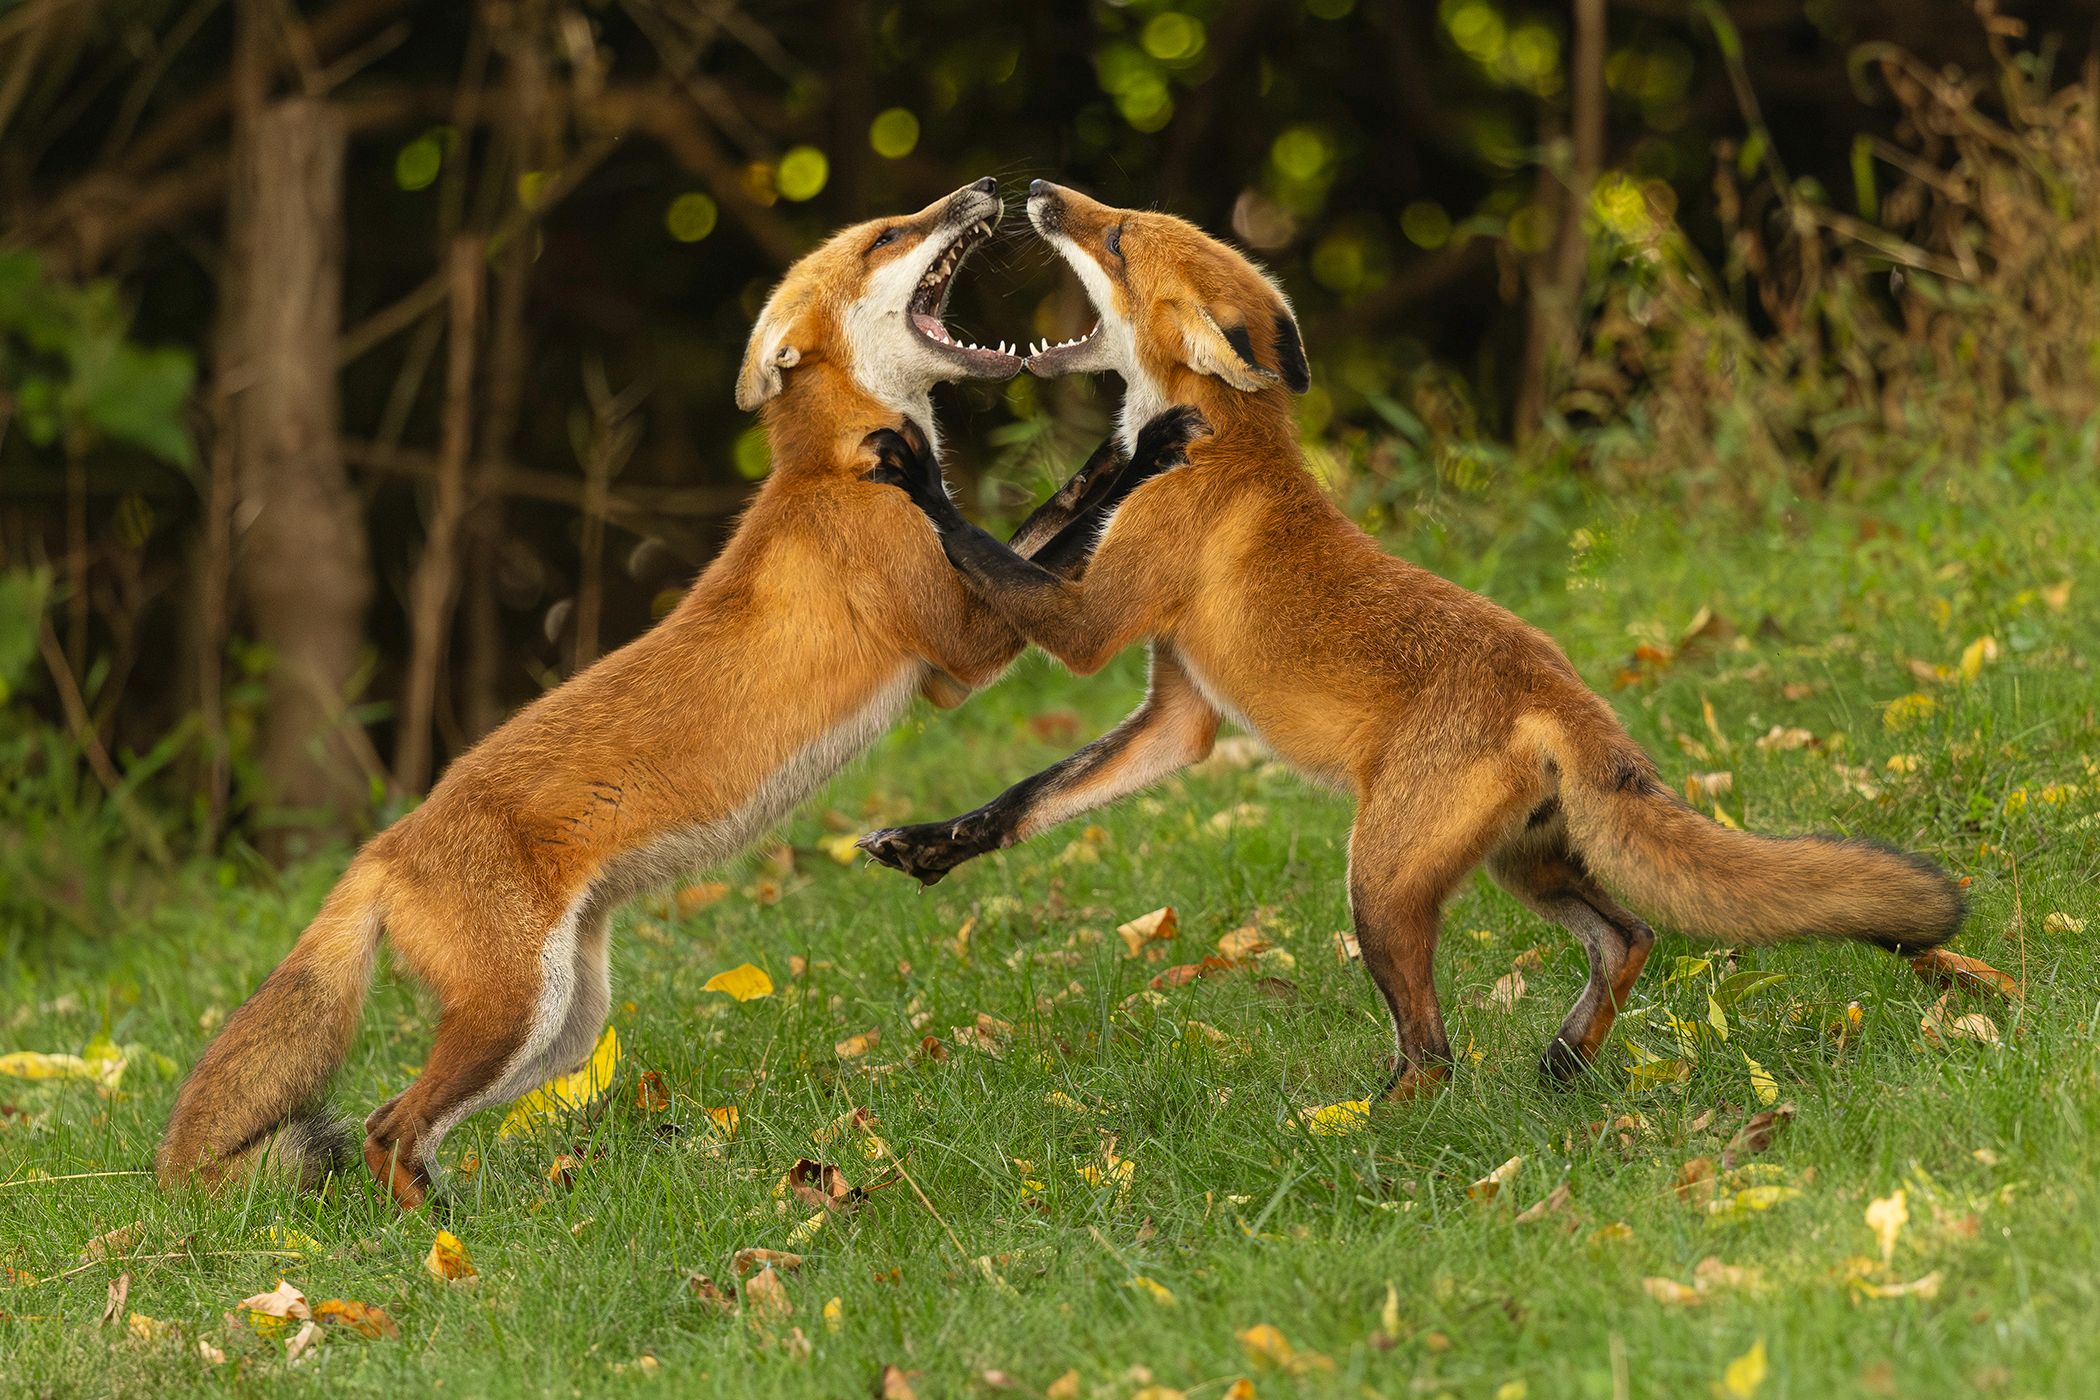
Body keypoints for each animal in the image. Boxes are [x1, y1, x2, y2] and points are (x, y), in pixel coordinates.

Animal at [156, 179, 1200, 1209]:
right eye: (886, 237)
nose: (986, 186)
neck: (838, 468)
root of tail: (381, 847)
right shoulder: (961, 654)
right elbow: (1053, 550)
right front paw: (1144, 452)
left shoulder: (950, 665)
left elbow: (1044, 526)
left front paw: (1116, 449)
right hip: (514, 1013)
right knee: (387, 1128)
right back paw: (447, 1243)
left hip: (564, 1026)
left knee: (402, 1125)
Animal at [858, 180, 1967, 1099]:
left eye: (1119, 238)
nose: (1039, 189)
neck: (1226, 444)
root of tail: (1562, 686)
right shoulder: (1177, 717)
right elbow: (1029, 796)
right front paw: (932, 845)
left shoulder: (1093, 626)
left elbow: (986, 556)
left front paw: (919, 477)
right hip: (1523, 862)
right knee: (1629, 934)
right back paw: (1562, 1061)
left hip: (1381, 884)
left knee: (1434, 1052)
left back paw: (1361, 1131)